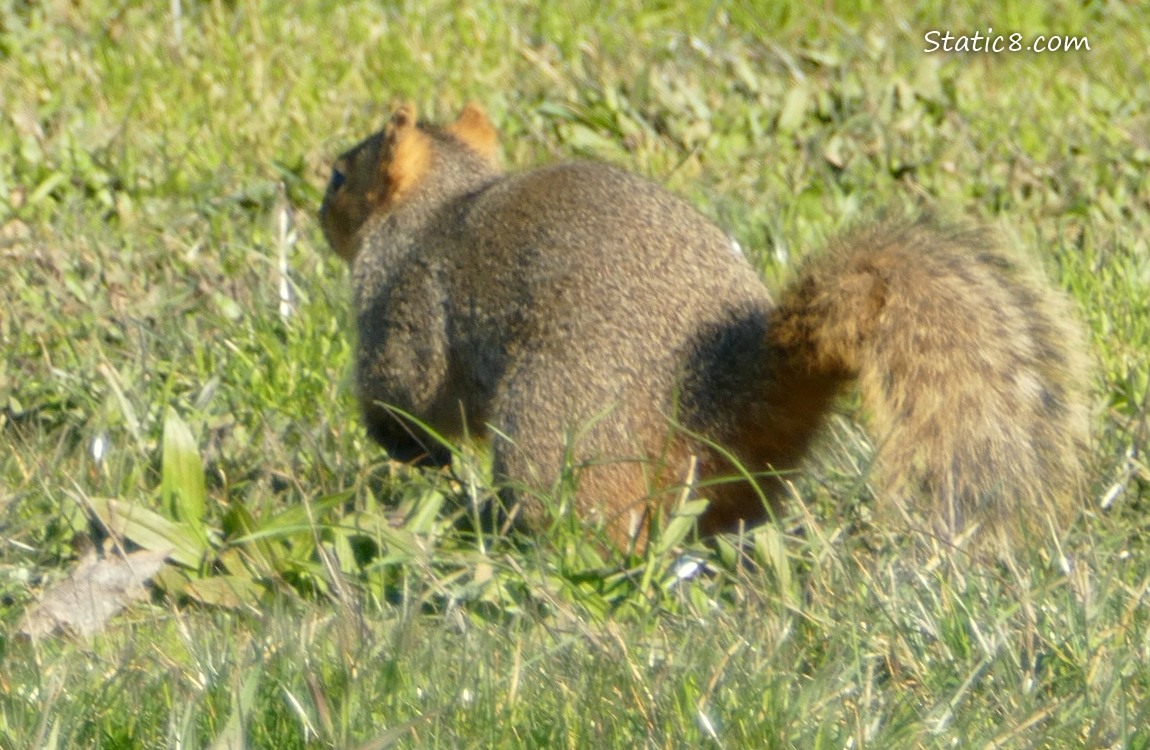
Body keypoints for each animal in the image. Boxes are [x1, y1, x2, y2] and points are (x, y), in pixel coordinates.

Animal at [319, 102, 1091, 550]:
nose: (318, 209)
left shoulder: (403, 301)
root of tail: (740, 386)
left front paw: (412, 450)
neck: (442, 203)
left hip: (558, 426)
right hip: (731, 477)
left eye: (339, 176)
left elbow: (406, 389)